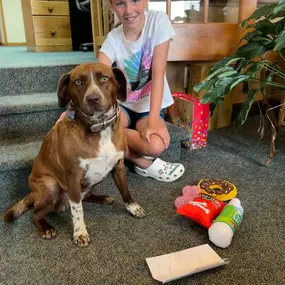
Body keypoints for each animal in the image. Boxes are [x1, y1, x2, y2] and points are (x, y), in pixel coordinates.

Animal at [1, 62, 144, 246]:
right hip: (51, 186)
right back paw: (46, 228)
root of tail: (32, 193)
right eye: (78, 82)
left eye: (104, 78)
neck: (99, 127)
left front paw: (133, 208)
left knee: (85, 197)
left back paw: (102, 198)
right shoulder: (73, 177)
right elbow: (77, 209)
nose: (93, 98)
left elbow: (125, 191)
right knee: (36, 214)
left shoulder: (118, 166)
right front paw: (80, 232)